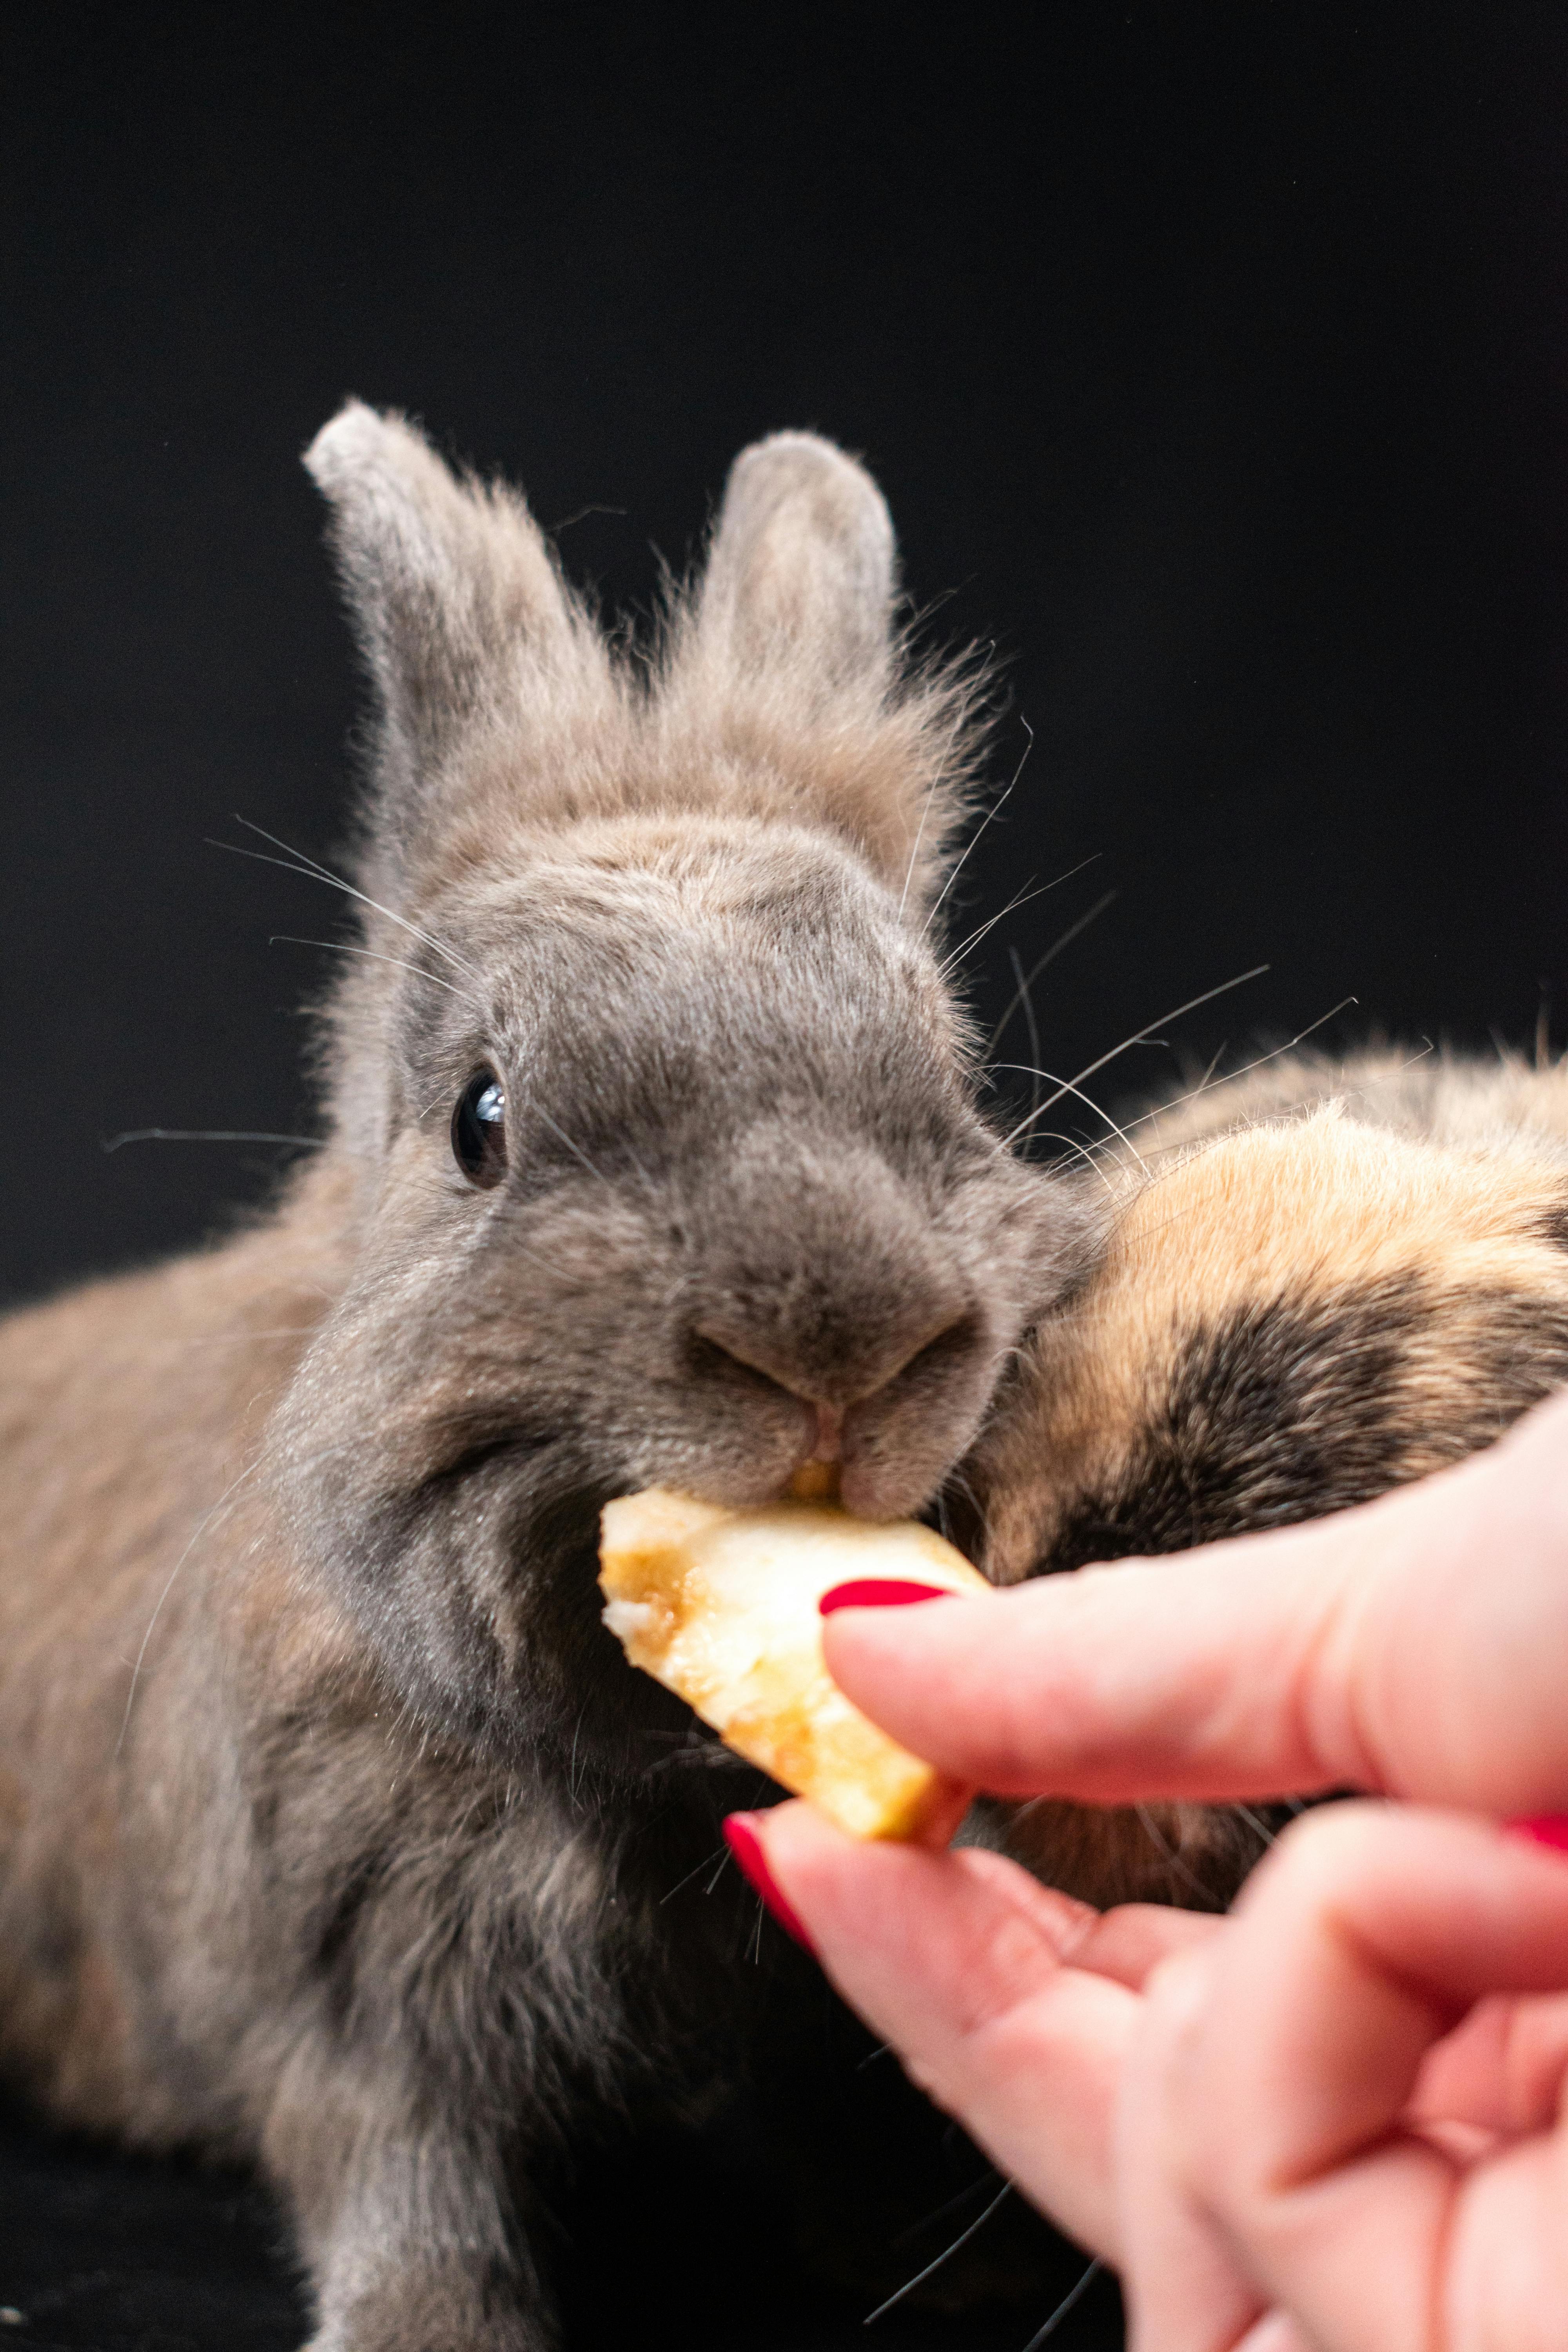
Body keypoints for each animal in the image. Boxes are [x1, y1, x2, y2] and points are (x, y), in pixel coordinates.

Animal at [0, 406, 1101, 2350]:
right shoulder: (340, 1993)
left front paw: (986, 2275)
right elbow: (400, 2171)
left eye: (952, 1084)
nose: (842, 1341)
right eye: (481, 1121)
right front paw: (427, 2332)